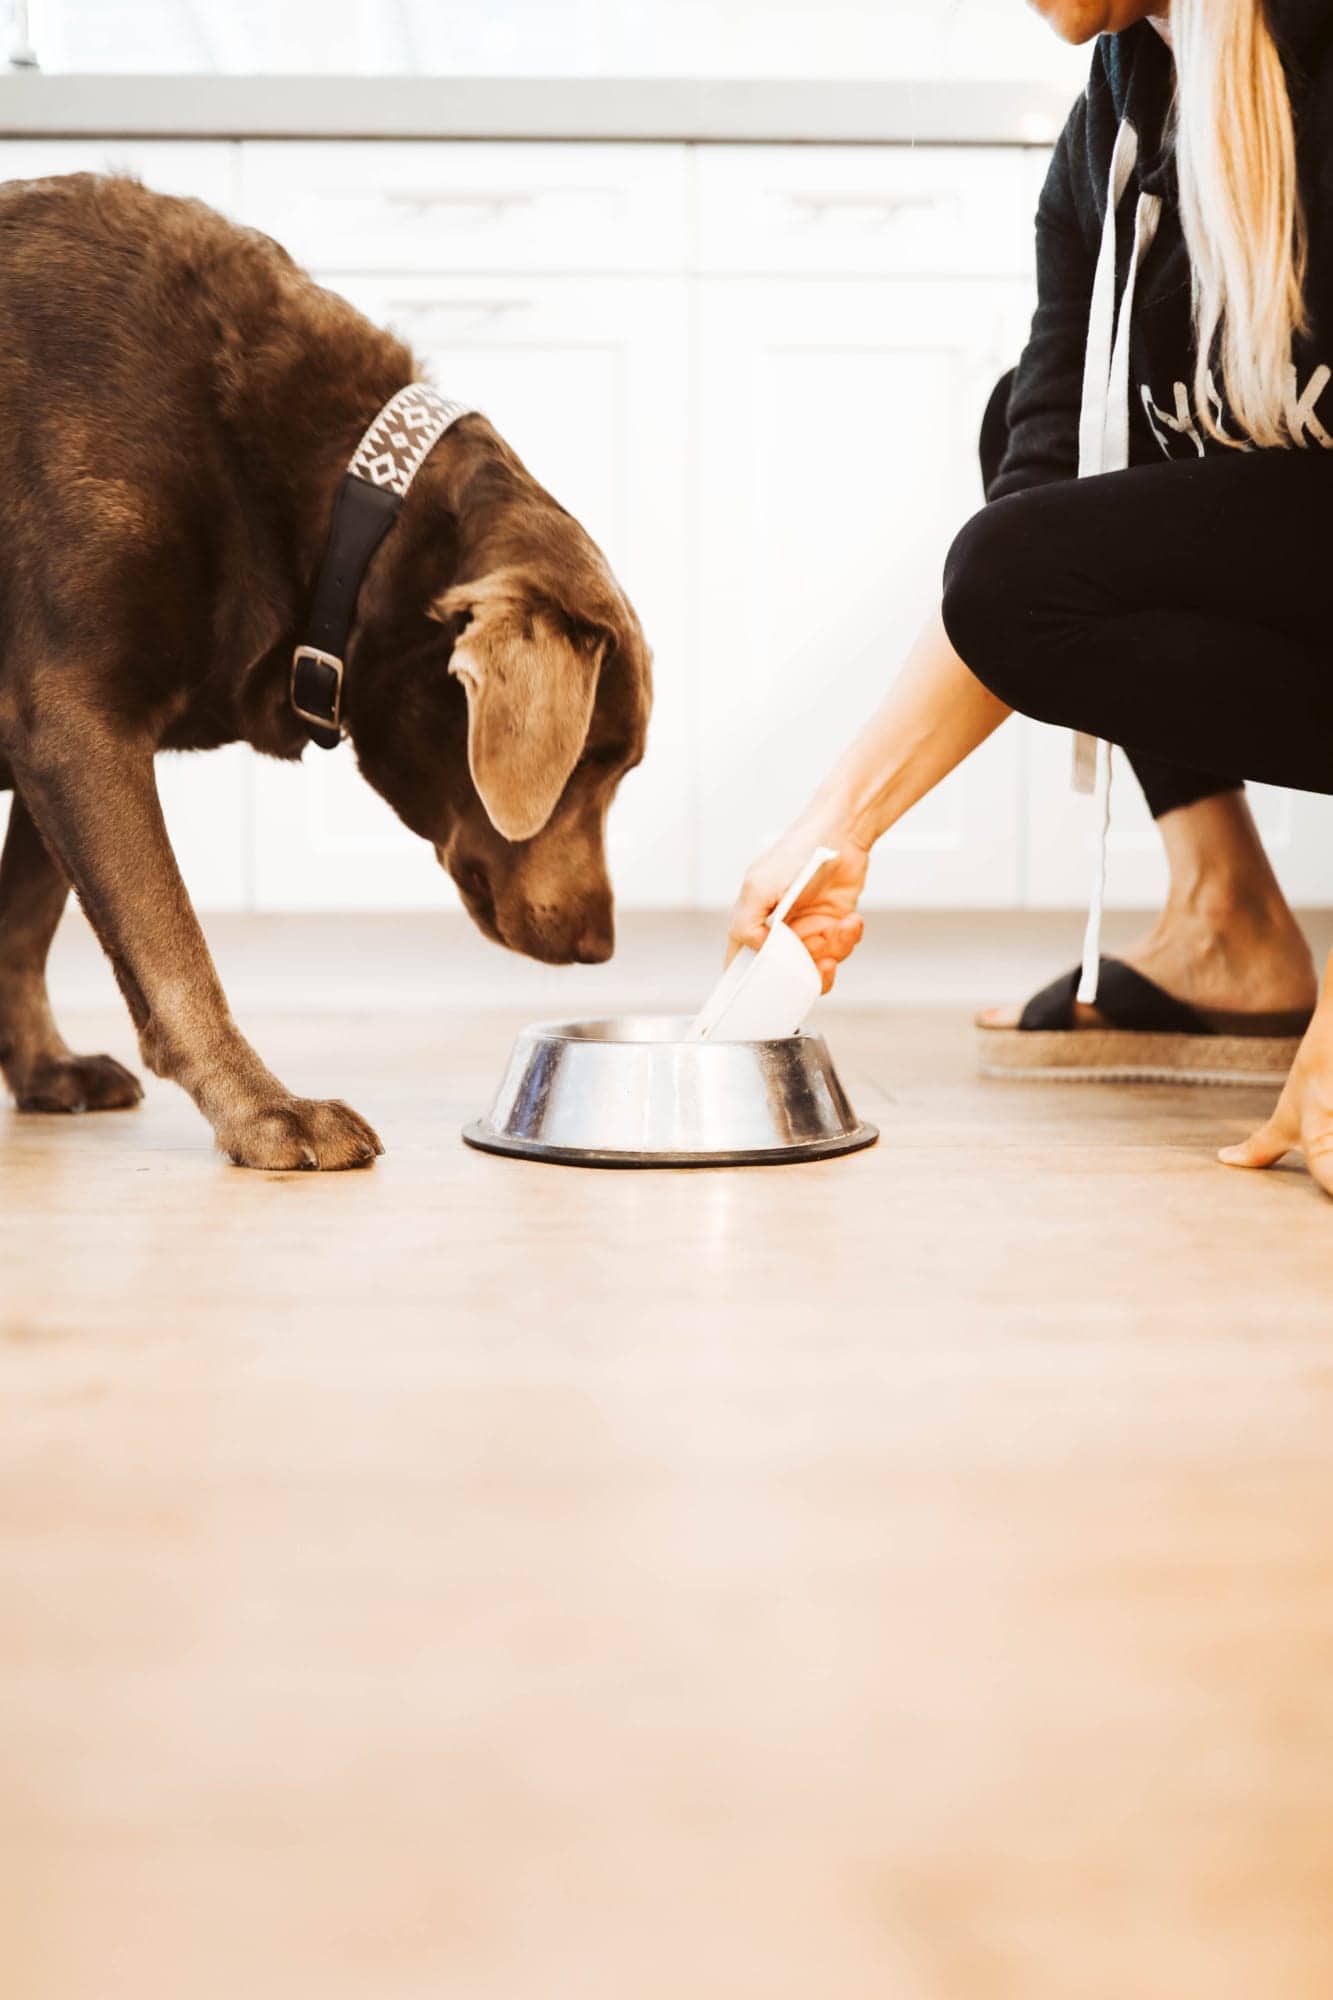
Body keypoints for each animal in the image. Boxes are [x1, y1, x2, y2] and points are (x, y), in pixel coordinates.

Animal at [0, 182, 648, 1168]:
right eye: (592, 762)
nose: (598, 947)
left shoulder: (55, 734)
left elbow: (24, 922)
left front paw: (44, 1070)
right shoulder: (77, 720)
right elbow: (172, 945)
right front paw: (268, 1111)